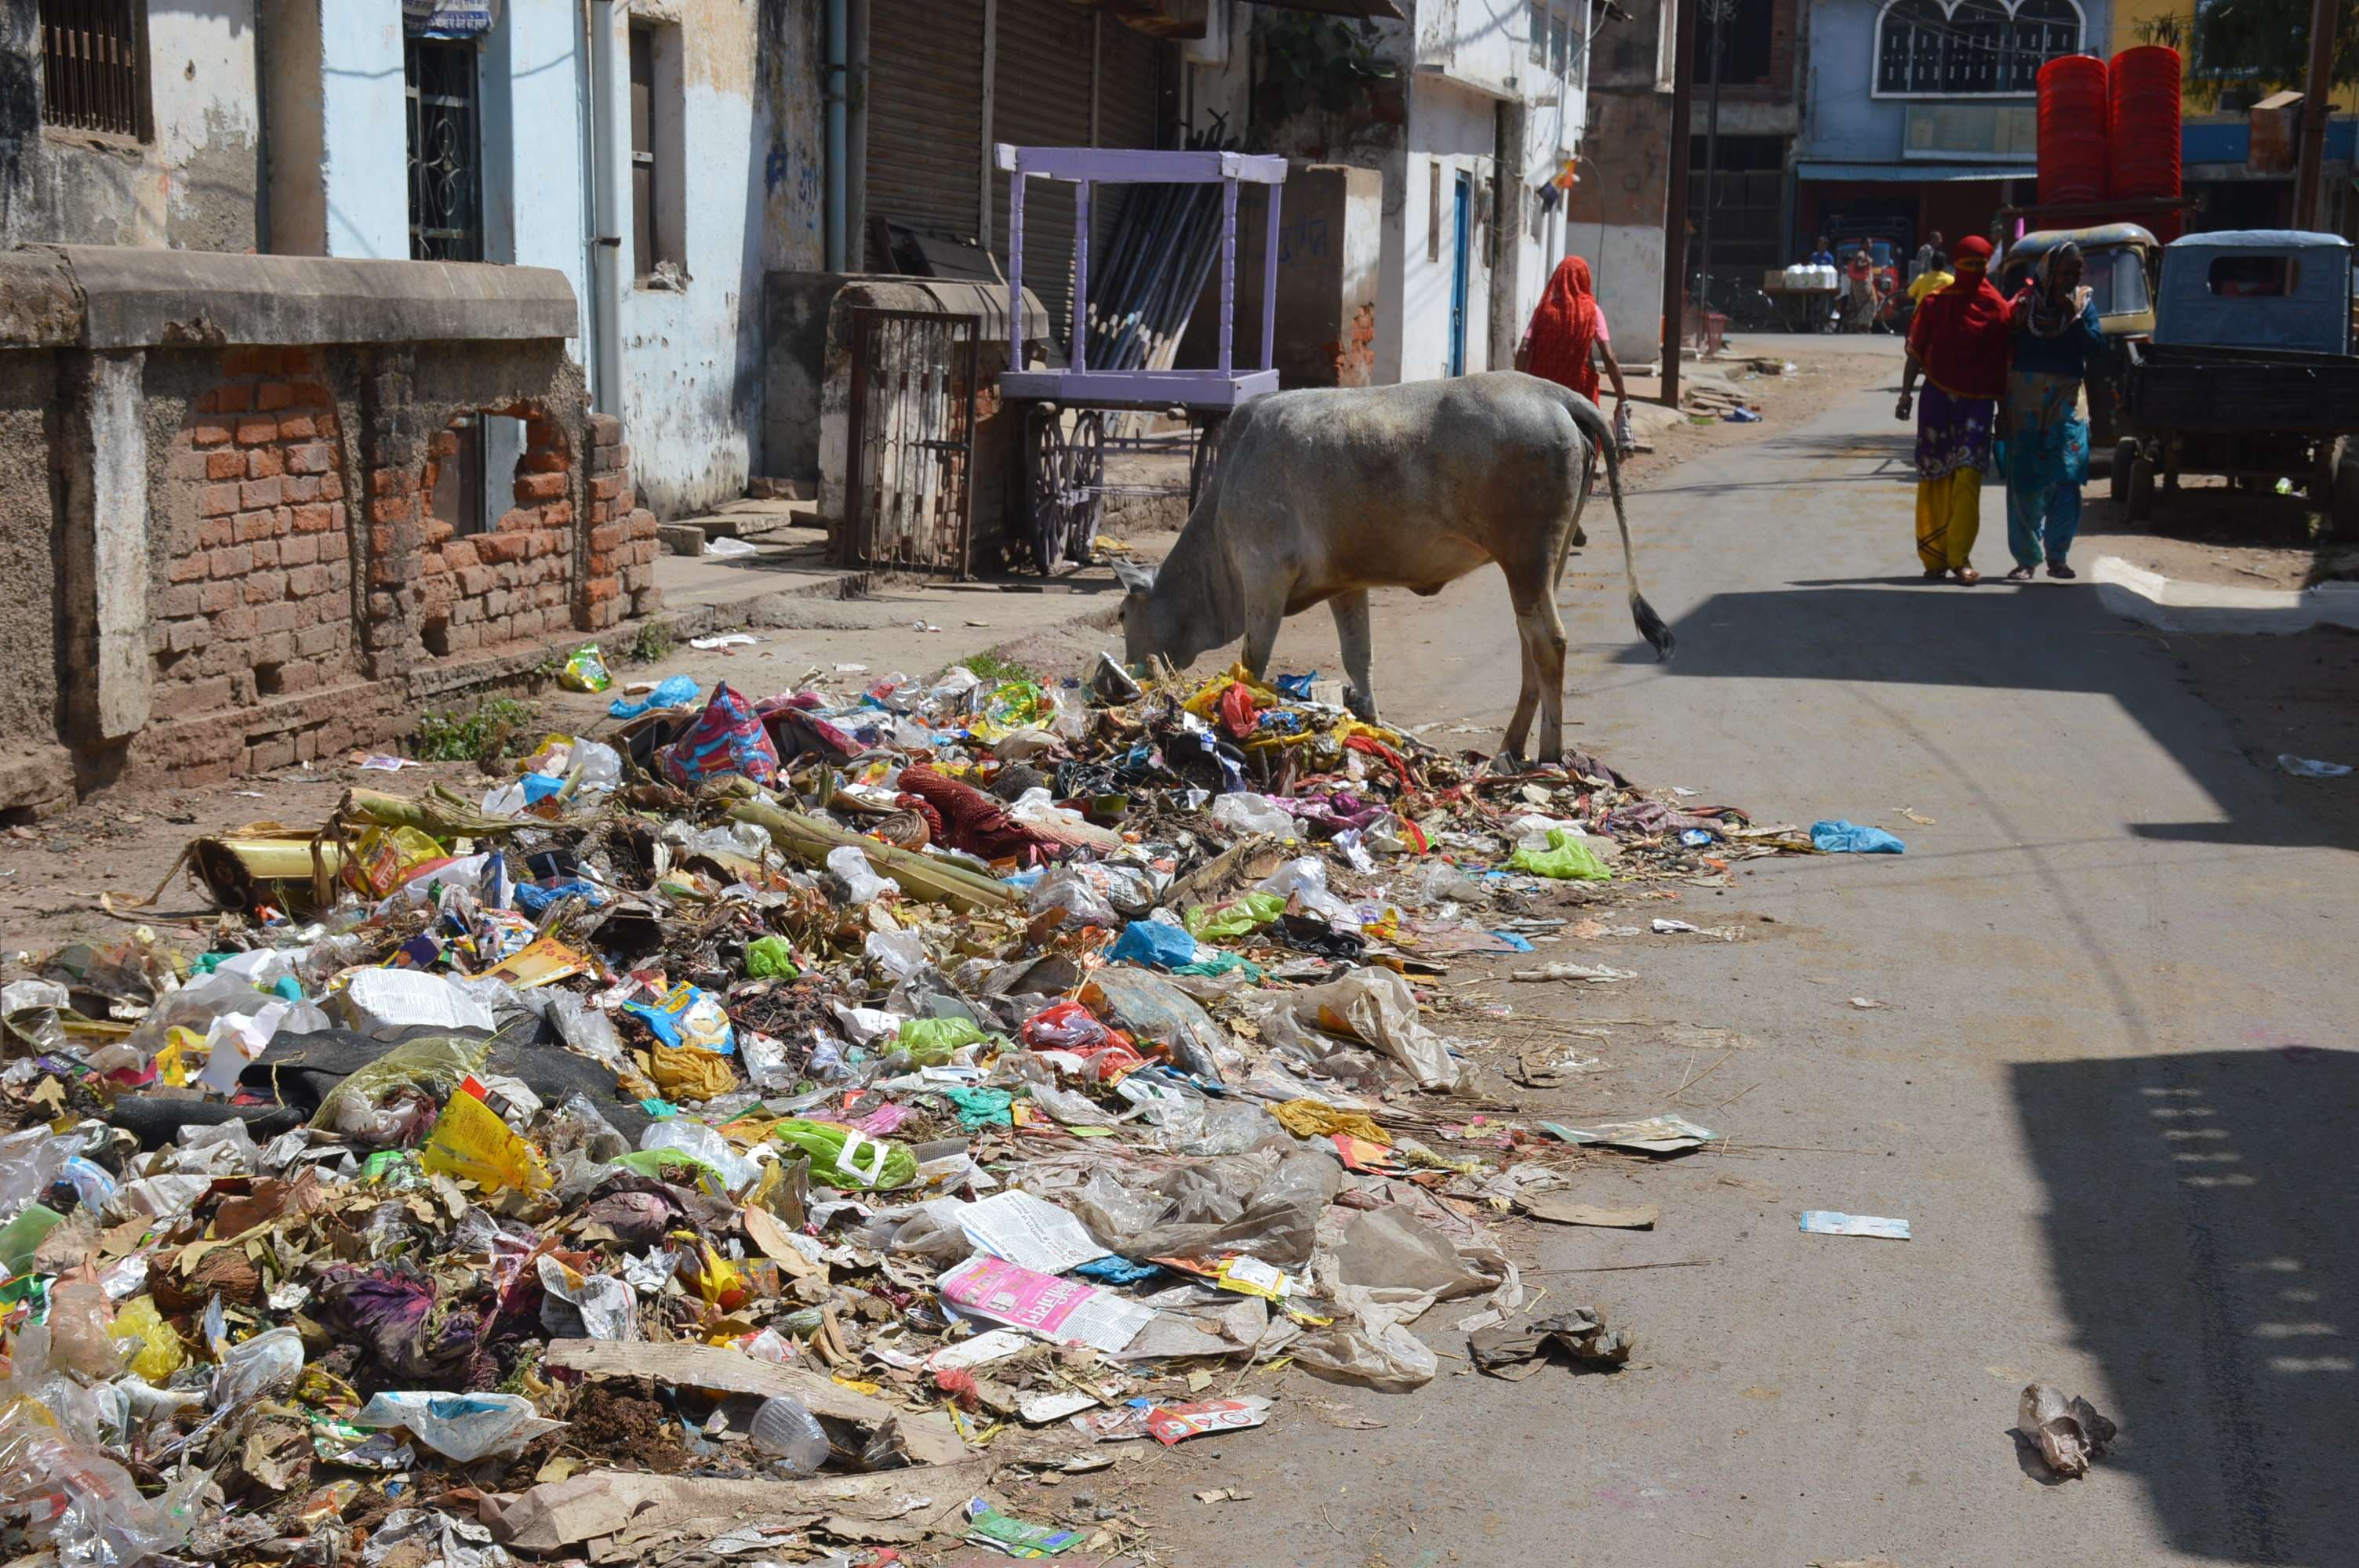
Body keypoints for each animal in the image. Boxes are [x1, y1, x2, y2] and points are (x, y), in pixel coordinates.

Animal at [1113, 368, 1670, 759]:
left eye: (1120, 615)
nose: (1122, 679)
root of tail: (1558, 395)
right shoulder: (1345, 585)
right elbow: (1359, 660)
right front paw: (1373, 727)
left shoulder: (1264, 576)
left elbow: (1253, 662)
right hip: (1543, 566)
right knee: (1529, 646)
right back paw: (1510, 747)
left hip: (1526, 557)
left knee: (1550, 643)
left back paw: (1548, 754)